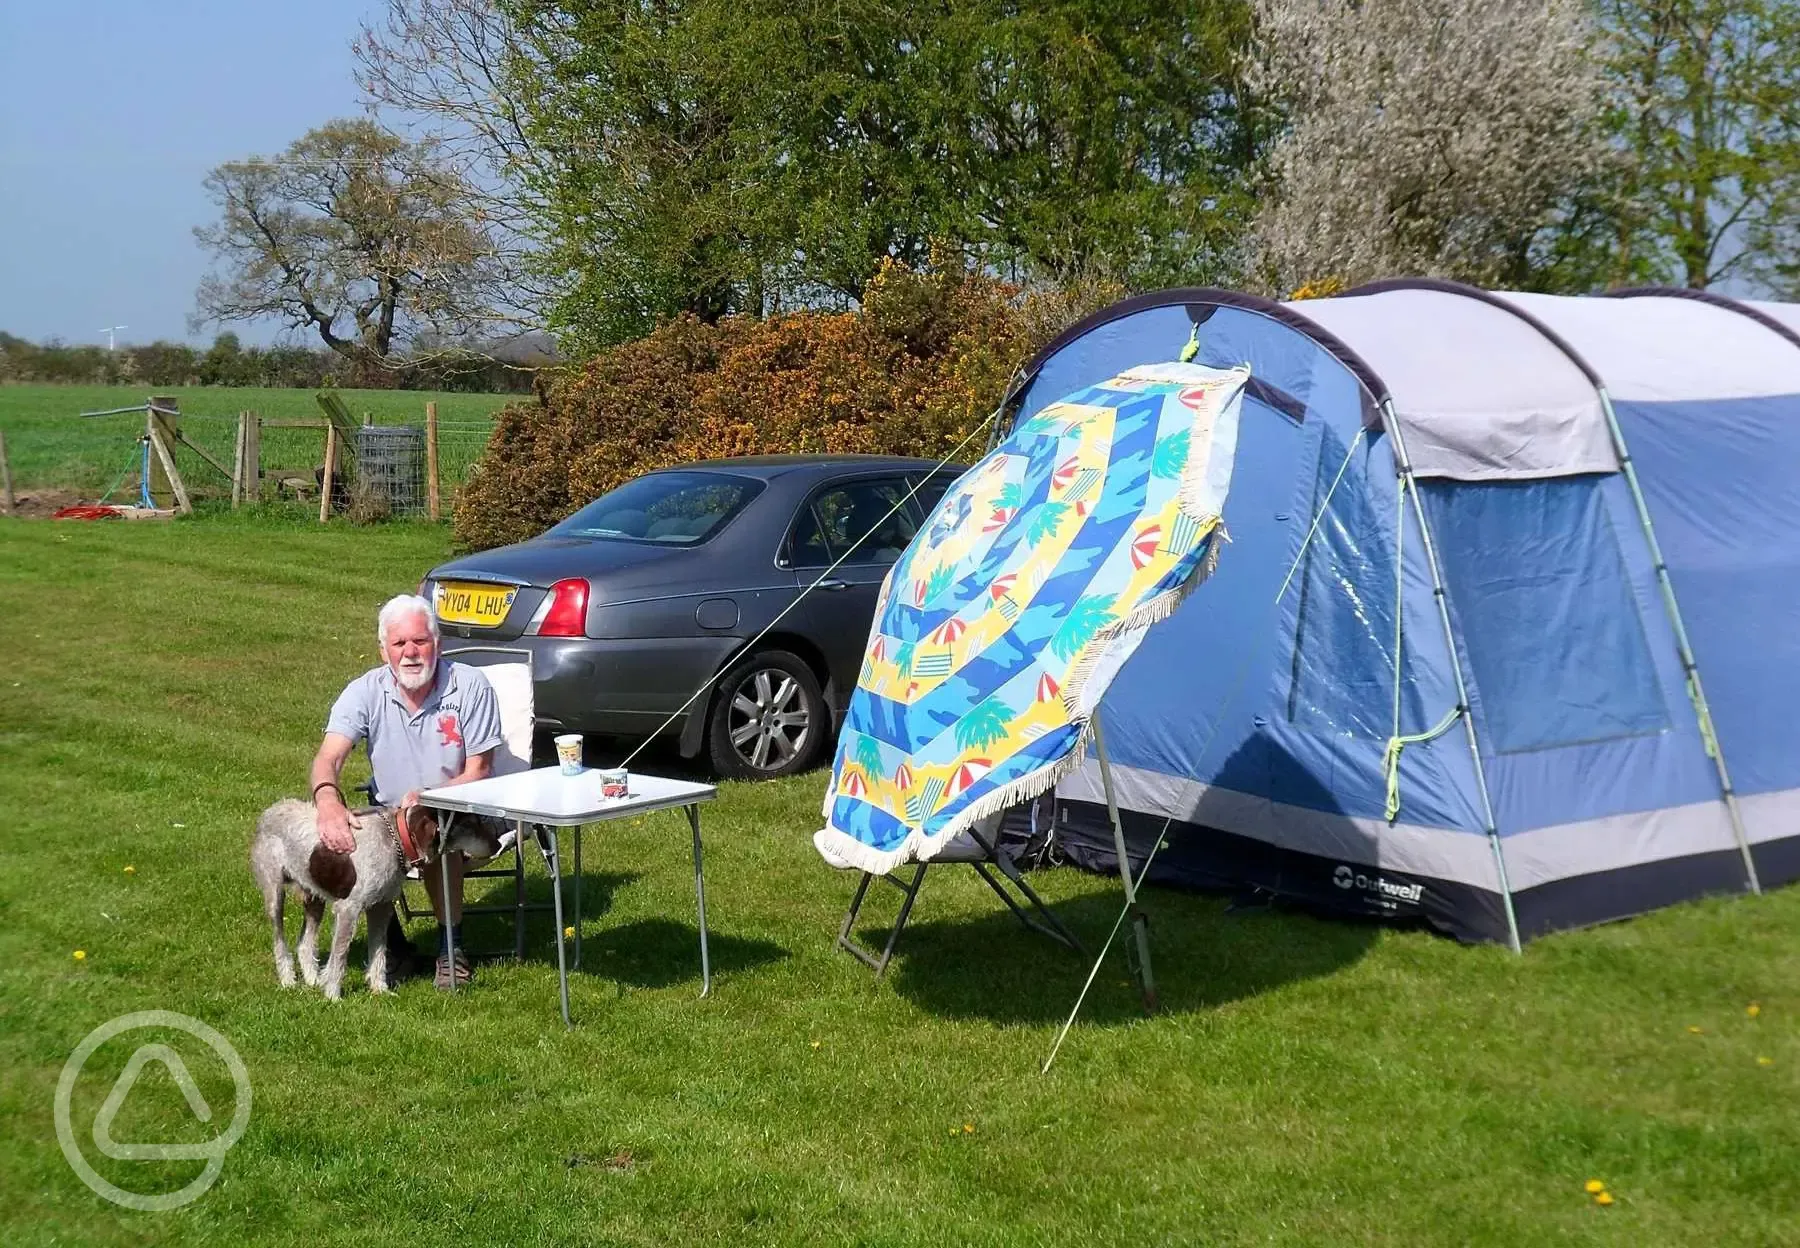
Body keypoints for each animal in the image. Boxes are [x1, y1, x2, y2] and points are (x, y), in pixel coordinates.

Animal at [248, 803, 500, 1001]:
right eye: (469, 824)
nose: (497, 845)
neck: (394, 839)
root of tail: (269, 811)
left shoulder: (381, 907)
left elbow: (378, 951)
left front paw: (379, 990)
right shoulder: (348, 909)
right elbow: (340, 956)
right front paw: (333, 995)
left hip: (314, 896)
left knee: (304, 943)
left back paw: (311, 980)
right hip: (274, 894)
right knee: (280, 943)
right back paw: (289, 981)